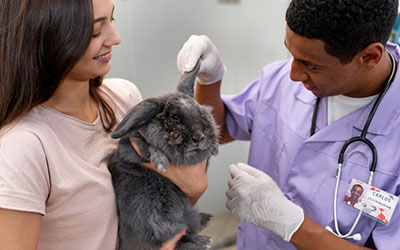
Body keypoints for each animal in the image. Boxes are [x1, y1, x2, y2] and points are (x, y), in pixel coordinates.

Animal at [107, 61, 219, 250]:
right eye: (175, 117)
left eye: (199, 111)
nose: (199, 136)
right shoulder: (133, 143)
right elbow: (145, 145)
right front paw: (160, 162)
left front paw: (214, 148)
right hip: (155, 213)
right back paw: (202, 241)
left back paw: (206, 220)